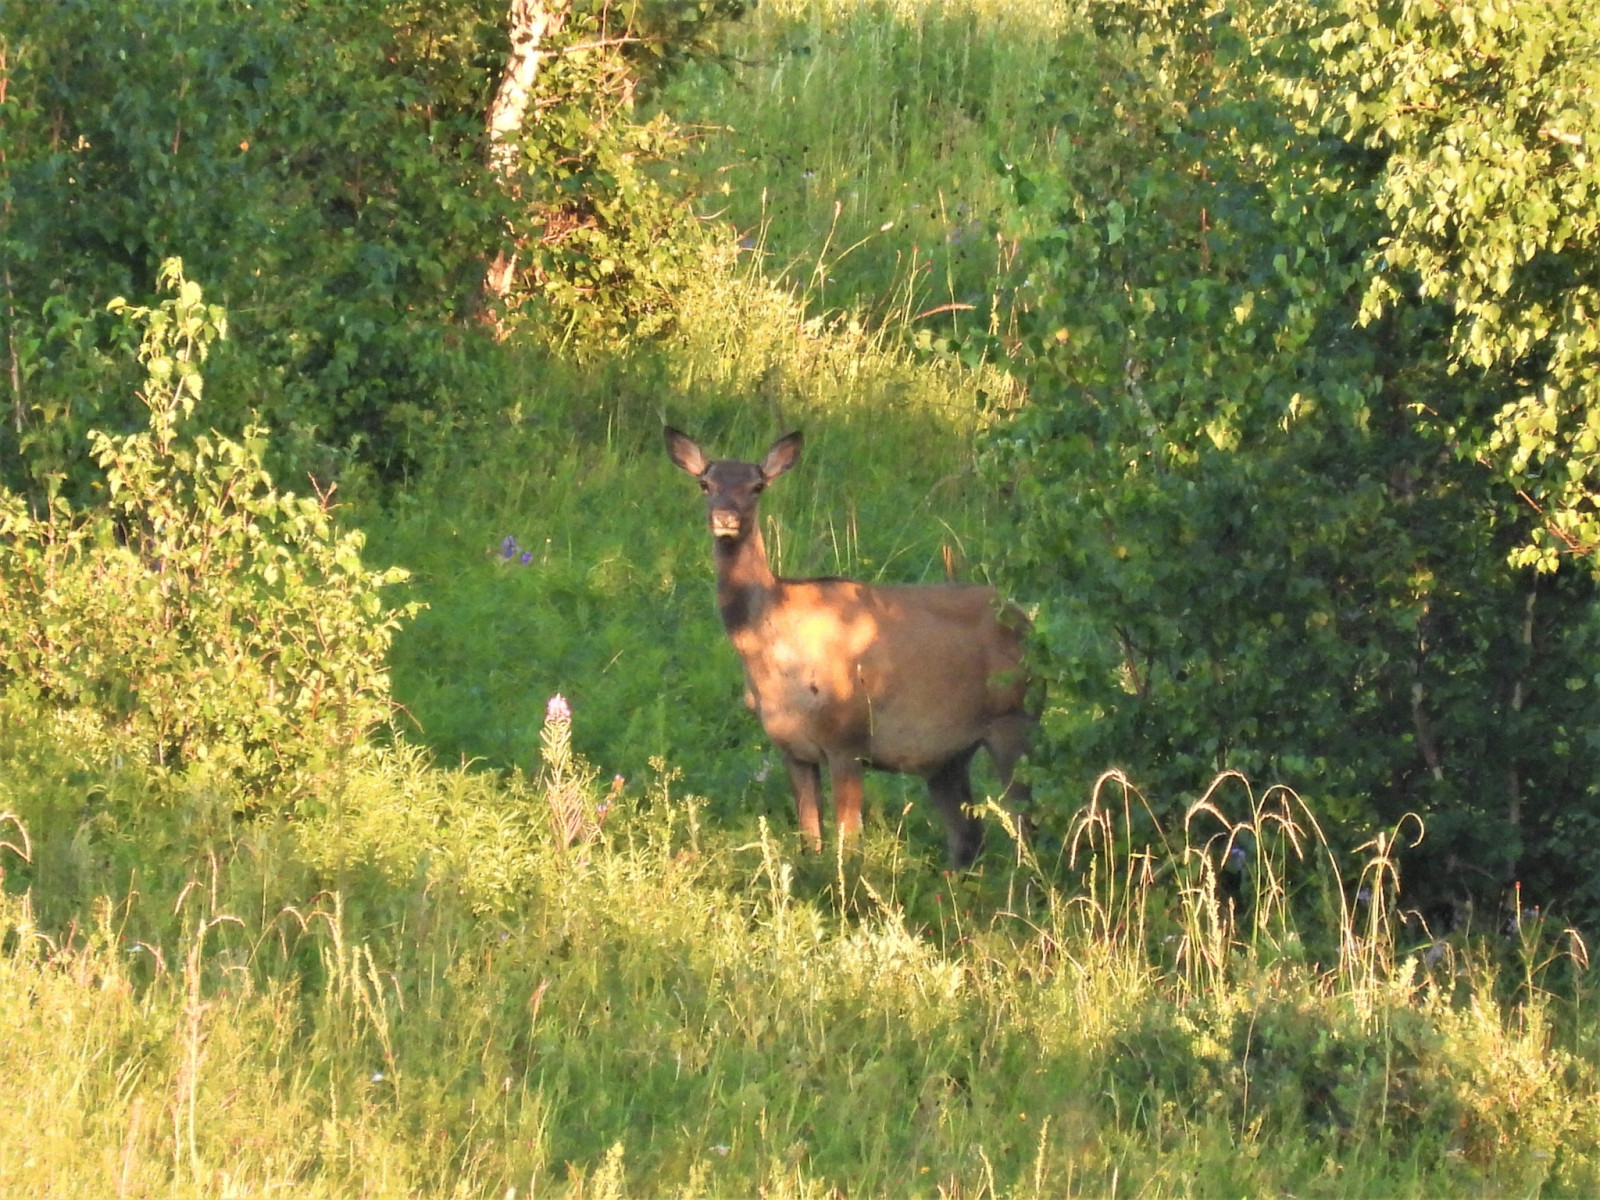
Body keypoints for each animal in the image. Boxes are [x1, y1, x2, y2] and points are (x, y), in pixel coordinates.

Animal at [665, 428, 1030, 870]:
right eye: (706, 483)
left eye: (757, 485)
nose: (725, 518)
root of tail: (1028, 622)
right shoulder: (792, 749)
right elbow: (810, 839)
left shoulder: (849, 737)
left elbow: (849, 842)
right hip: (947, 755)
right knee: (968, 835)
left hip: (1013, 717)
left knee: (1024, 820)